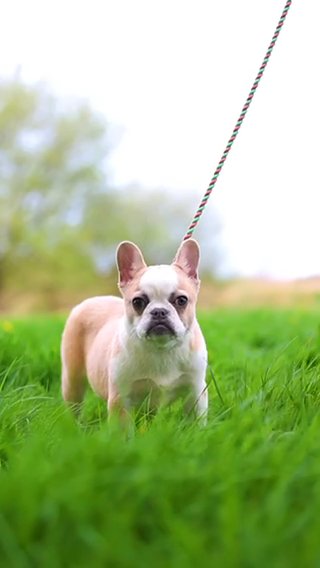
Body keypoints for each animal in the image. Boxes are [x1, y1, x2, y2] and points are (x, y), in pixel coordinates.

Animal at [61, 239, 209, 422]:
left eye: (182, 300)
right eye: (137, 302)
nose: (159, 312)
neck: (161, 349)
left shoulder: (195, 391)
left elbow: (196, 421)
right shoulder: (120, 398)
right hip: (72, 379)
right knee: (74, 404)